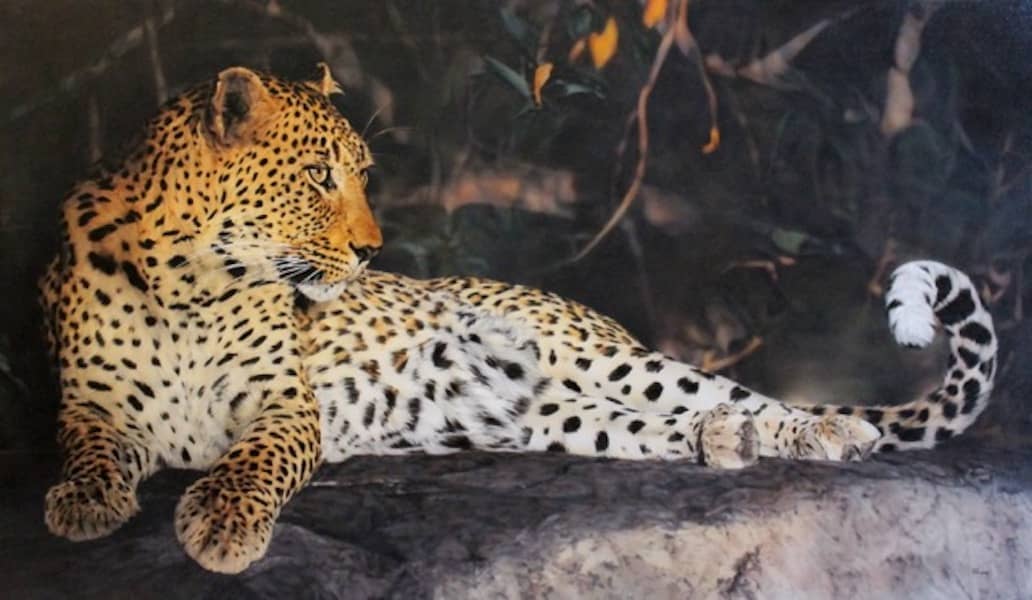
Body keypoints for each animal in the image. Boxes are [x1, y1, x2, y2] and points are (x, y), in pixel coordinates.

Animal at [40, 64, 998, 574]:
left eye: (358, 174)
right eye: (318, 176)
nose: (374, 251)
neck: (189, 281)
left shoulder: (284, 406)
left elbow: (254, 463)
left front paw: (223, 525)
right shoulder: (88, 404)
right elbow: (89, 448)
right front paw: (84, 504)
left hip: (603, 358)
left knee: (734, 392)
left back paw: (821, 436)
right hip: (557, 416)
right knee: (659, 424)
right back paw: (727, 443)